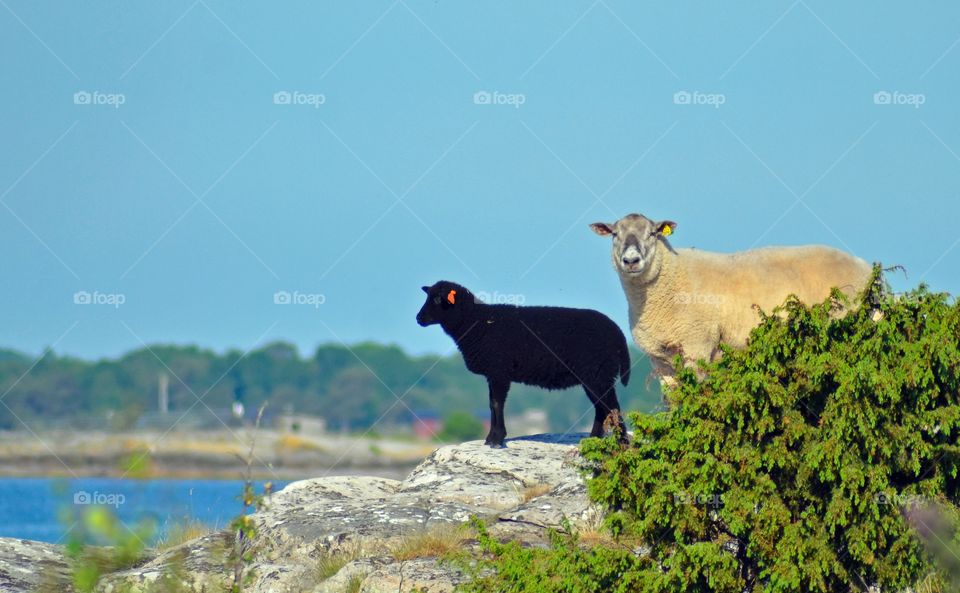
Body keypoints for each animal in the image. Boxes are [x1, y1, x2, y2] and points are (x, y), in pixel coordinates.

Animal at [416, 281, 631, 447]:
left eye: (438, 299)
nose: (419, 319)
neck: (477, 322)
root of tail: (618, 333)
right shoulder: (493, 374)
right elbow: (491, 404)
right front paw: (491, 438)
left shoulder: (499, 371)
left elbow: (497, 403)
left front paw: (497, 439)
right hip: (595, 377)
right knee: (601, 408)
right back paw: (592, 441)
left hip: (598, 374)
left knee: (611, 407)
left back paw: (621, 443)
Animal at [590, 213, 873, 378]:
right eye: (614, 234)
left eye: (652, 233)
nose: (631, 260)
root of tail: (865, 267)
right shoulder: (660, 360)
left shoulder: (698, 345)